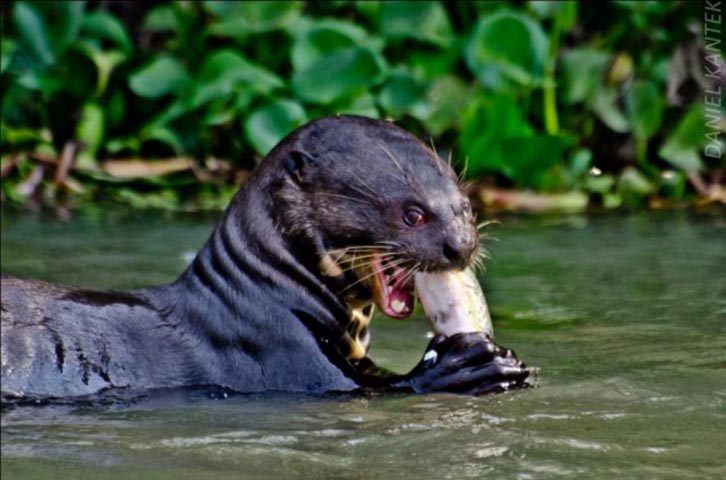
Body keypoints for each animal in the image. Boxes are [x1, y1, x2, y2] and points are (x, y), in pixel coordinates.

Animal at [0, 116, 528, 402]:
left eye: (465, 205)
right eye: (413, 213)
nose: (461, 245)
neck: (259, 299)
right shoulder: (282, 355)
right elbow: (380, 386)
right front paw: (475, 364)